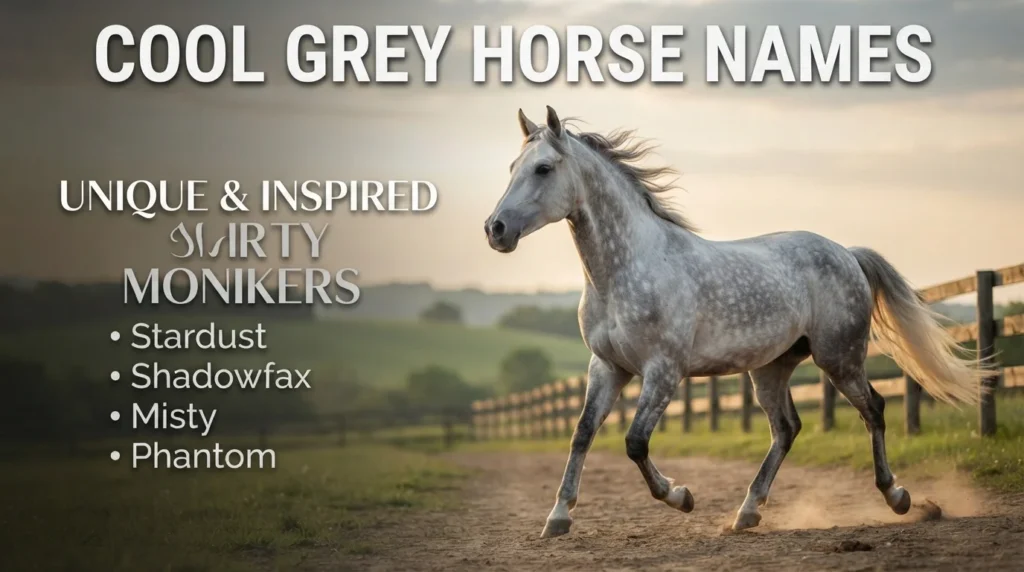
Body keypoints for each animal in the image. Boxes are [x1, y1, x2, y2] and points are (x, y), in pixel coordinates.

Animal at [484, 106, 989, 537]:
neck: (626, 269)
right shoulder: (608, 367)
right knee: (786, 428)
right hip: (771, 368)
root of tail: (846, 253)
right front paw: (557, 518)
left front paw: (681, 496)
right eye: (511, 167)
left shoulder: (663, 371)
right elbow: (583, 434)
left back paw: (899, 498)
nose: (495, 230)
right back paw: (746, 513)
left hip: (839, 357)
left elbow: (634, 442)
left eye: (543, 168)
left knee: (874, 410)